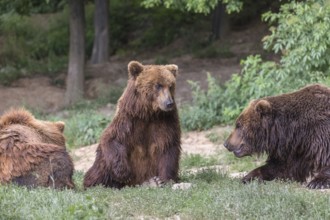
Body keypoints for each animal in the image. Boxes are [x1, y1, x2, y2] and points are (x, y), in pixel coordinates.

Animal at [82, 60, 180, 189]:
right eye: (158, 85)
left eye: (170, 86)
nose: (169, 103)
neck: (149, 113)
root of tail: (137, 182)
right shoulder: (129, 119)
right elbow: (113, 138)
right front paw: (123, 173)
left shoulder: (165, 120)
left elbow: (168, 146)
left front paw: (164, 179)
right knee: (101, 167)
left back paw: (153, 181)